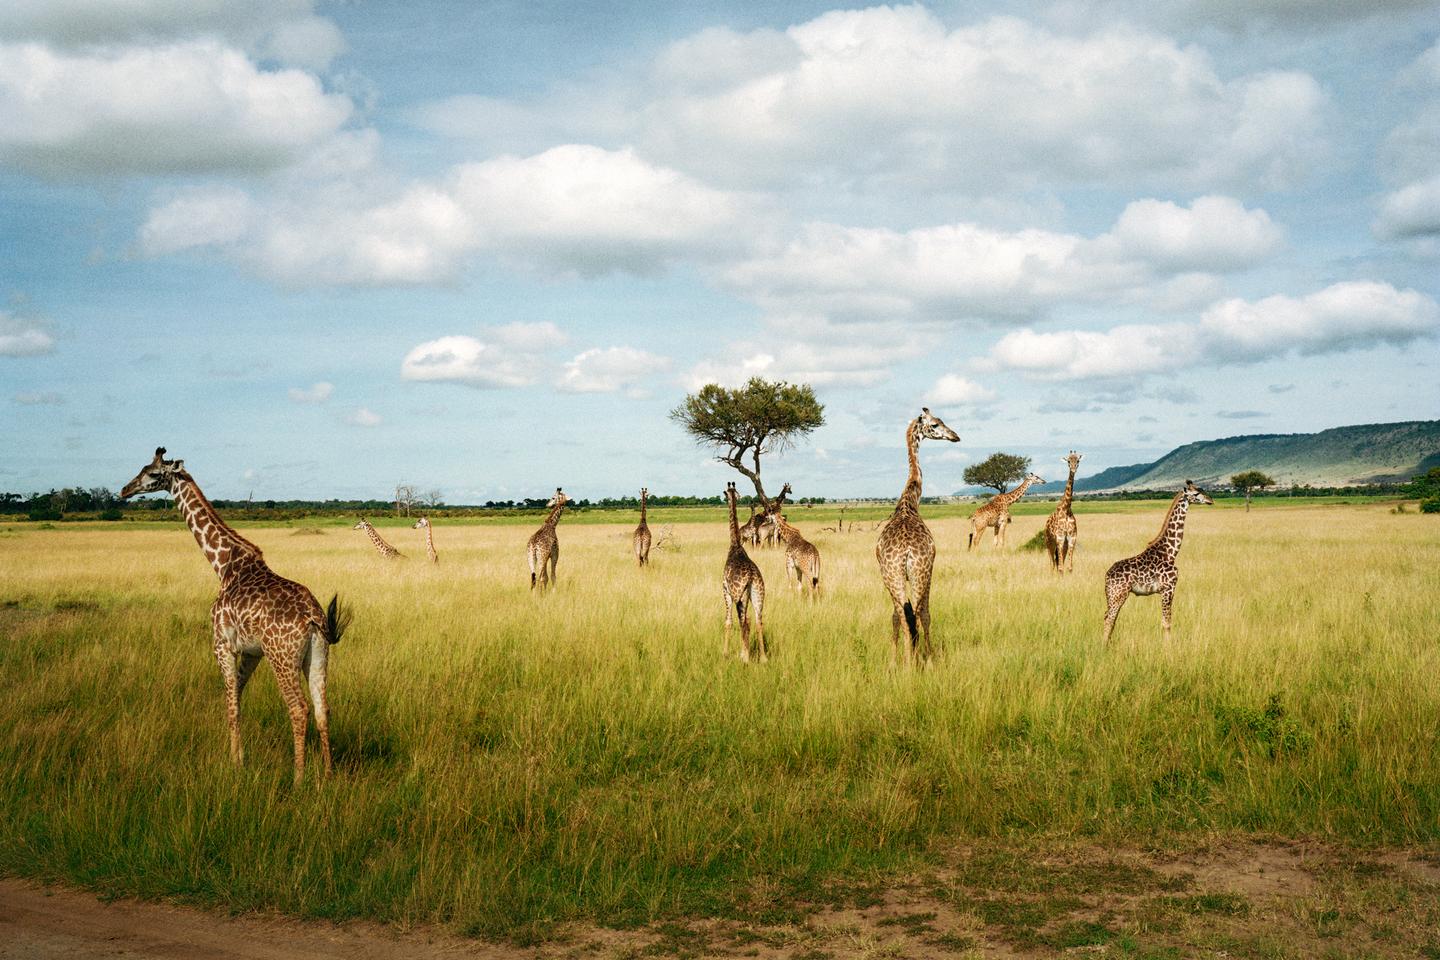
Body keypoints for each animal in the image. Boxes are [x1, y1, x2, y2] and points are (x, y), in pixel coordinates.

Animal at [118, 446, 348, 782]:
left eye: (153, 473)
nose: (124, 490)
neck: (224, 565)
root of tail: (313, 617)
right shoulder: (252, 652)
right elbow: (237, 697)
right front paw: (239, 757)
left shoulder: (222, 644)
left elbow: (230, 701)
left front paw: (235, 763)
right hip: (318, 656)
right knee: (322, 708)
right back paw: (328, 776)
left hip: (282, 657)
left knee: (299, 708)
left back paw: (298, 778)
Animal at [720, 480, 766, 662]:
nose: (724, 499)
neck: (735, 545)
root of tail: (752, 576)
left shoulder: (726, 590)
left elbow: (728, 622)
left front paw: (726, 653)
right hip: (758, 594)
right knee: (758, 620)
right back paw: (763, 658)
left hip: (741, 595)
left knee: (743, 621)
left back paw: (745, 658)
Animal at [869, 408, 961, 664]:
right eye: (936, 424)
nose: (955, 436)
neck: (909, 502)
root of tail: (906, 553)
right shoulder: (931, 568)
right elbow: (926, 615)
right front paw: (928, 658)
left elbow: (896, 616)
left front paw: (893, 661)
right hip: (919, 574)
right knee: (919, 614)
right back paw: (916, 661)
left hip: (892, 576)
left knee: (901, 614)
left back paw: (905, 661)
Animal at [1100, 480, 1215, 644]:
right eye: (1196, 493)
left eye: (1202, 489)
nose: (1210, 500)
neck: (1171, 552)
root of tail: (1107, 576)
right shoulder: (1168, 588)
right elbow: (1167, 623)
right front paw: (1168, 647)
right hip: (1119, 594)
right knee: (1109, 619)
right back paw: (1104, 646)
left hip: (1112, 595)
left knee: (1109, 617)